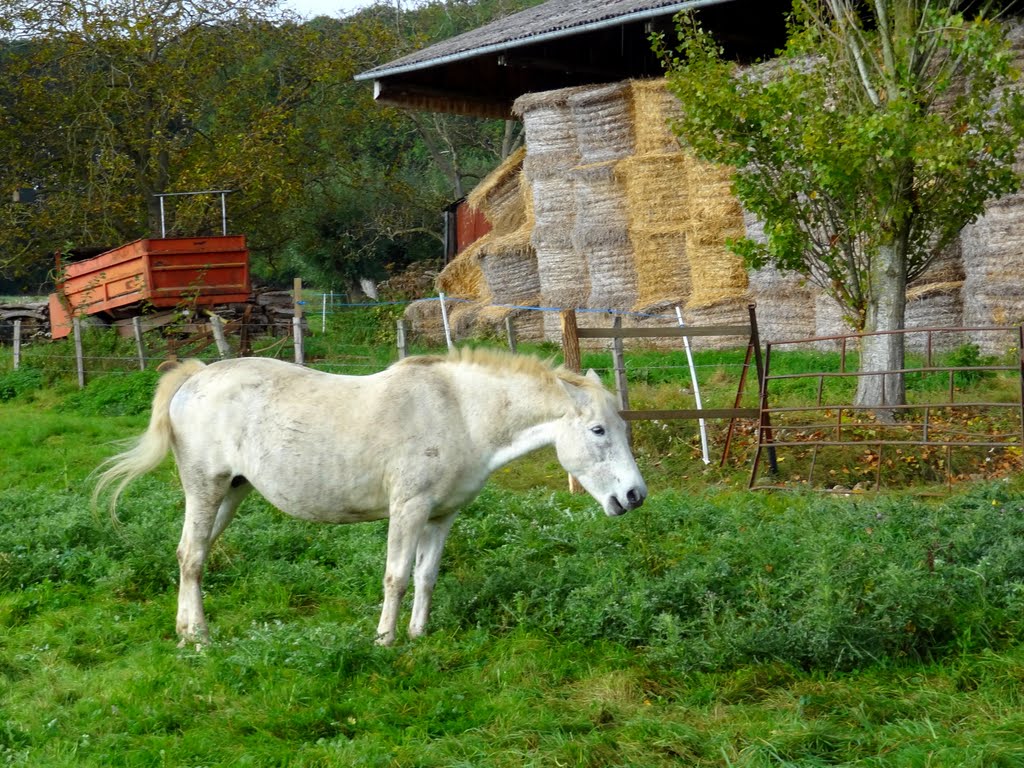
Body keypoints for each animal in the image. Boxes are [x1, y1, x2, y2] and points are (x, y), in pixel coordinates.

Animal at [92, 352, 643, 647]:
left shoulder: (441, 517)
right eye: (598, 430)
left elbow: (425, 576)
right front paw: (385, 640)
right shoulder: (408, 510)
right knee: (191, 557)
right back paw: (200, 638)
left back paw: (185, 629)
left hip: (229, 494)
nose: (634, 495)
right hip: (204, 490)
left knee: (193, 556)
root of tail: (196, 376)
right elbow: (395, 577)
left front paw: (418, 636)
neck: (459, 413)